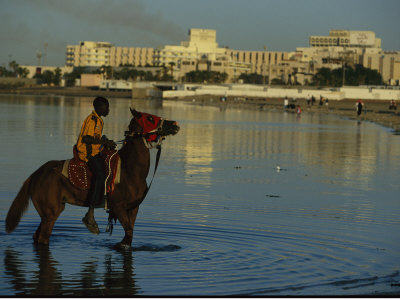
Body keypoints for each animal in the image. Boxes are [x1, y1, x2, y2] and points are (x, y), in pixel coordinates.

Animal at [4, 108, 180, 248]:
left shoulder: (133, 208)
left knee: (37, 236)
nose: (175, 124)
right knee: (42, 238)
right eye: (150, 118)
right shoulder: (118, 207)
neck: (130, 170)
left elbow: (129, 235)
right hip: (50, 212)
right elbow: (128, 232)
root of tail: (36, 174)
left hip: (50, 210)